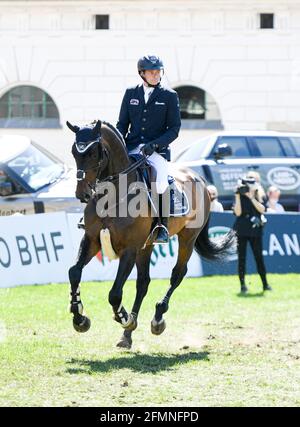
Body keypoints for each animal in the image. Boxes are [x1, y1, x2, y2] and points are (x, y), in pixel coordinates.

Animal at [67, 118, 236, 350]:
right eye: (74, 152)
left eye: (93, 153)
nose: (82, 194)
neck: (113, 196)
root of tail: (199, 179)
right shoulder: (92, 240)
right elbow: (74, 272)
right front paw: (80, 318)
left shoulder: (129, 249)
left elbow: (114, 293)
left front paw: (123, 317)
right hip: (147, 246)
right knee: (143, 283)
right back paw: (127, 335)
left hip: (187, 238)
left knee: (177, 274)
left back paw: (156, 319)